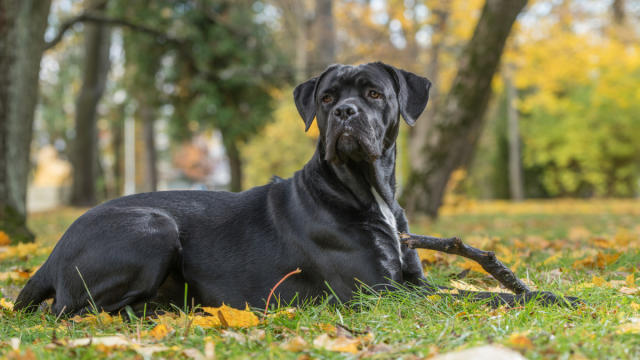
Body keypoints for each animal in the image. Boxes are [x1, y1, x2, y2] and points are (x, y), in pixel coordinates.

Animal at [13, 62, 564, 316]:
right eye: (327, 98)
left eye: (374, 93)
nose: (345, 113)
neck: (366, 190)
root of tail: (52, 252)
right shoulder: (380, 293)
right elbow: (478, 295)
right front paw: (554, 297)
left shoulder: (410, 281)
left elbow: (466, 288)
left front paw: (543, 291)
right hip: (154, 228)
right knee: (72, 309)